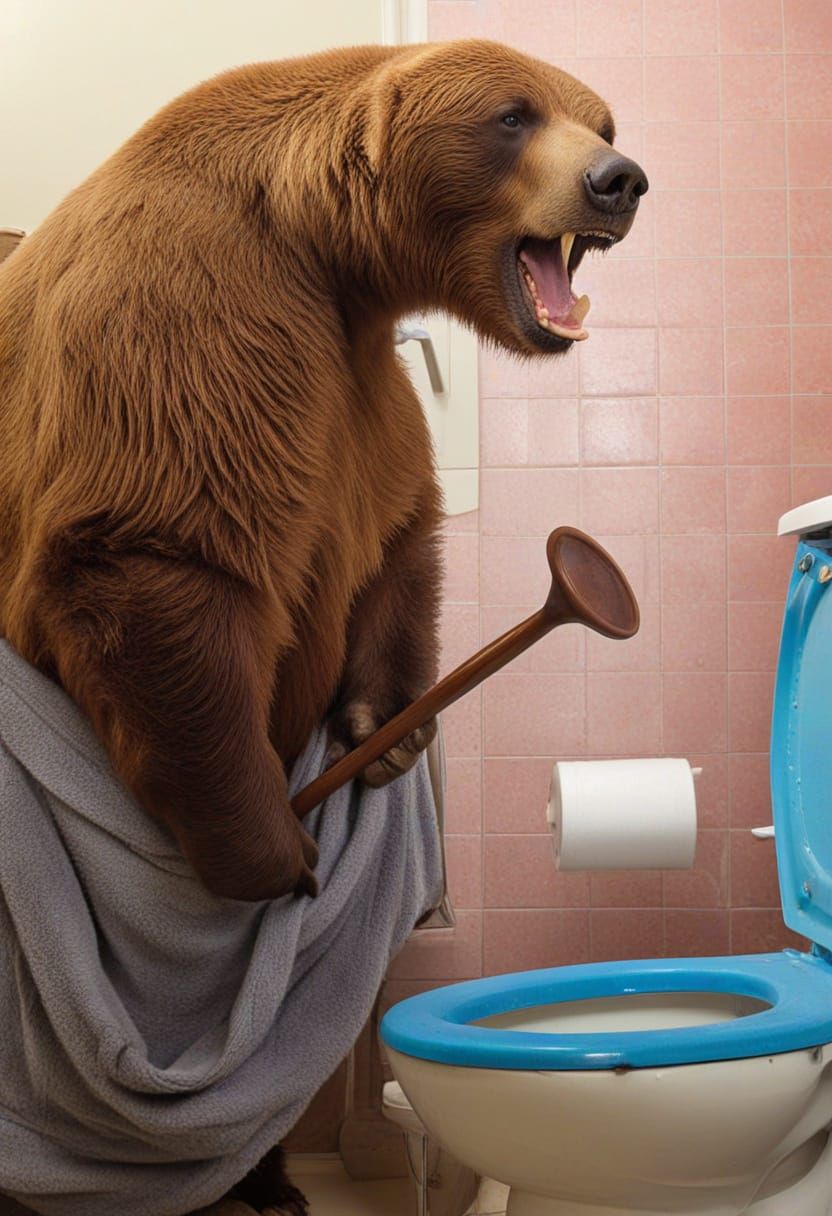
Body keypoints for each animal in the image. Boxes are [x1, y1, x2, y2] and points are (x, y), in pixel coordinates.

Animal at [0, 36, 648, 1216]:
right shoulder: (202, 313)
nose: (620, 181)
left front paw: (380, 734)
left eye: (602, 118)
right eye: (512, 115)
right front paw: (269, 846)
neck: (330, 249)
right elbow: (160, 553)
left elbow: (392, 527)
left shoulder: (357, 381)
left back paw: (268, 1178)